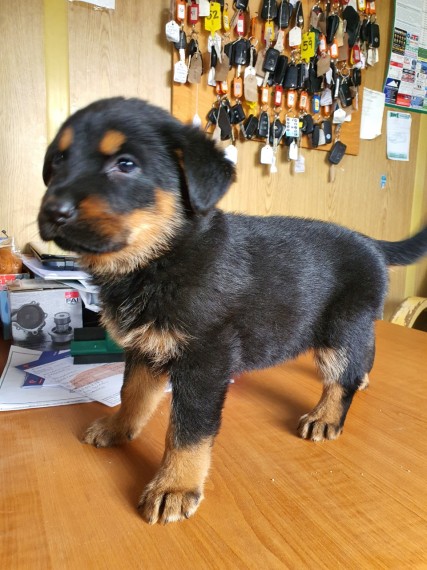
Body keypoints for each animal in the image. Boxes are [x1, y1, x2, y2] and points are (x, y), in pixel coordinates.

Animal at [37, 97, 427, 524]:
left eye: (125, 164)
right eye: (58, 160)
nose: (53, 211)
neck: (159, 258)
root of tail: (371, 242)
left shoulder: (204, 360)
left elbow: (188, 431)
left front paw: (174, 487)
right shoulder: (145, 346)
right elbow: (133, 393)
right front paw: (119, 428)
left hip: (341, 326)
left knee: (342, 376)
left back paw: (326, 416)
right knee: (361, 356)